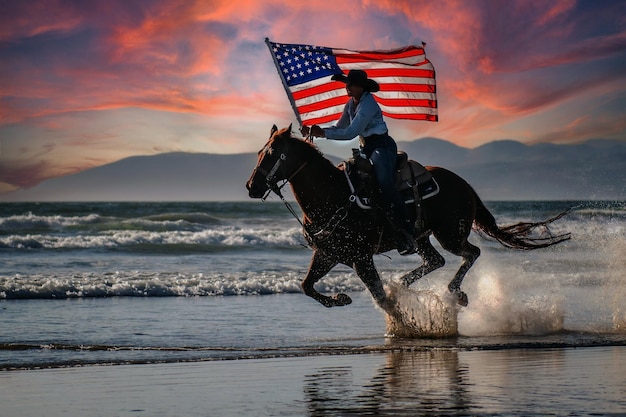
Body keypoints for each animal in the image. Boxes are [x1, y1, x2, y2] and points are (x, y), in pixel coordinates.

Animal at [245, 124, 572, 312]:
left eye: (271, 153)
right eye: (260, 151)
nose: (251, 187)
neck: (333, 195)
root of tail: (465, 185)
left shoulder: (361, 258)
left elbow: (380, 297)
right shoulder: (328, 254)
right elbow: (306, 285)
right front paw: (339, 299)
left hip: (450, 234)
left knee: (471, 253)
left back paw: (454, 292)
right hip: (421, 237)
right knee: (436, 260)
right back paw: (404, 282)